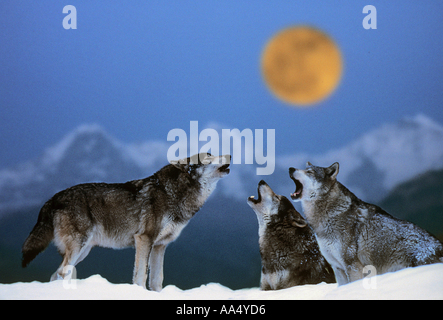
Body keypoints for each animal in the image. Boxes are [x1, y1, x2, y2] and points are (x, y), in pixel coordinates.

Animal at [23, 152, 232, 290]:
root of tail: (53, 198)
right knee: (60, 273)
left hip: (83, 251)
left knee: (54, 275)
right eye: (208, 156)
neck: (175, 194)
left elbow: (157, 279)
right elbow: (141, 275)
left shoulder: (160, 246)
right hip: (77, 248)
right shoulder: (144, 239)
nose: (230, 154)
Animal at [288, 162, 443, 284]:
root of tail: (439, 247)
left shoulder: (352, 266)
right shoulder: (337, 268)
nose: (290, 168)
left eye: (309, 172)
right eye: (305, 169)